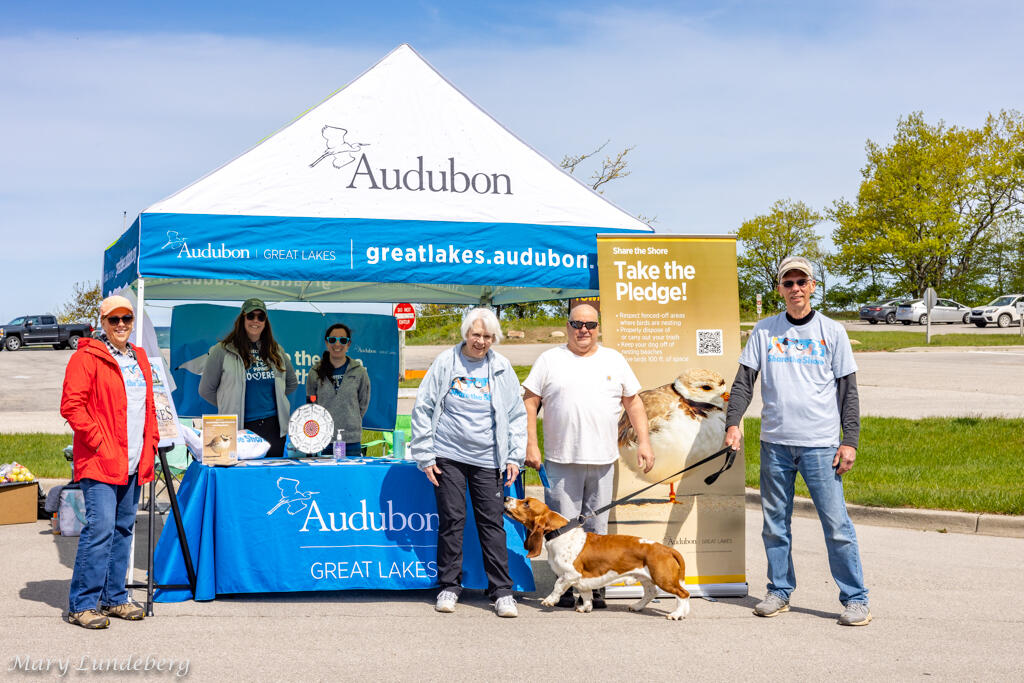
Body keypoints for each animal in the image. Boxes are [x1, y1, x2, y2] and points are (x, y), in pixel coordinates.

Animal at [501, 497, 692, 618]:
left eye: (526, 503)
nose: (506, 497)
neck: (560, 533)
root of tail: (666, 549)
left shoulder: (570, 574)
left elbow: (557, 586)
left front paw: (549, 600)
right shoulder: (582, 579)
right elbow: (586, 594)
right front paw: (585, 608)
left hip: (663, 578)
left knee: (683, 593)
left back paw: (676, 614)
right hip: (646, 578)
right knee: (652, 592)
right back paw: (637, 606)